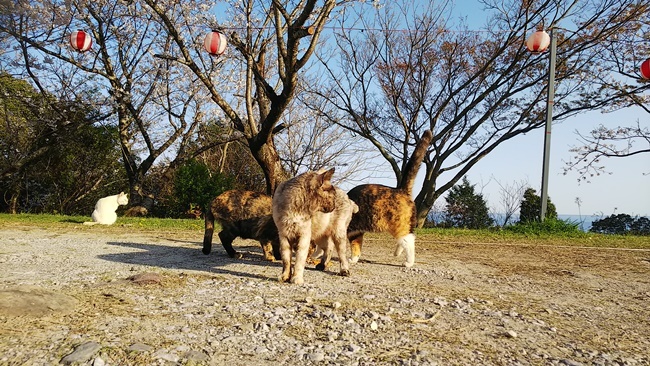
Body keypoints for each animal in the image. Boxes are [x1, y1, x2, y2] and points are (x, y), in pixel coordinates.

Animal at [346, 130, 432, 268]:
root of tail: (400, 189)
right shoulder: (355, 233)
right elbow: (356, 247)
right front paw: (353, 259)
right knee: (404, 240)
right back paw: (397, 253)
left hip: (398, 225)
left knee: (409, 242)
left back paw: (408, 262)